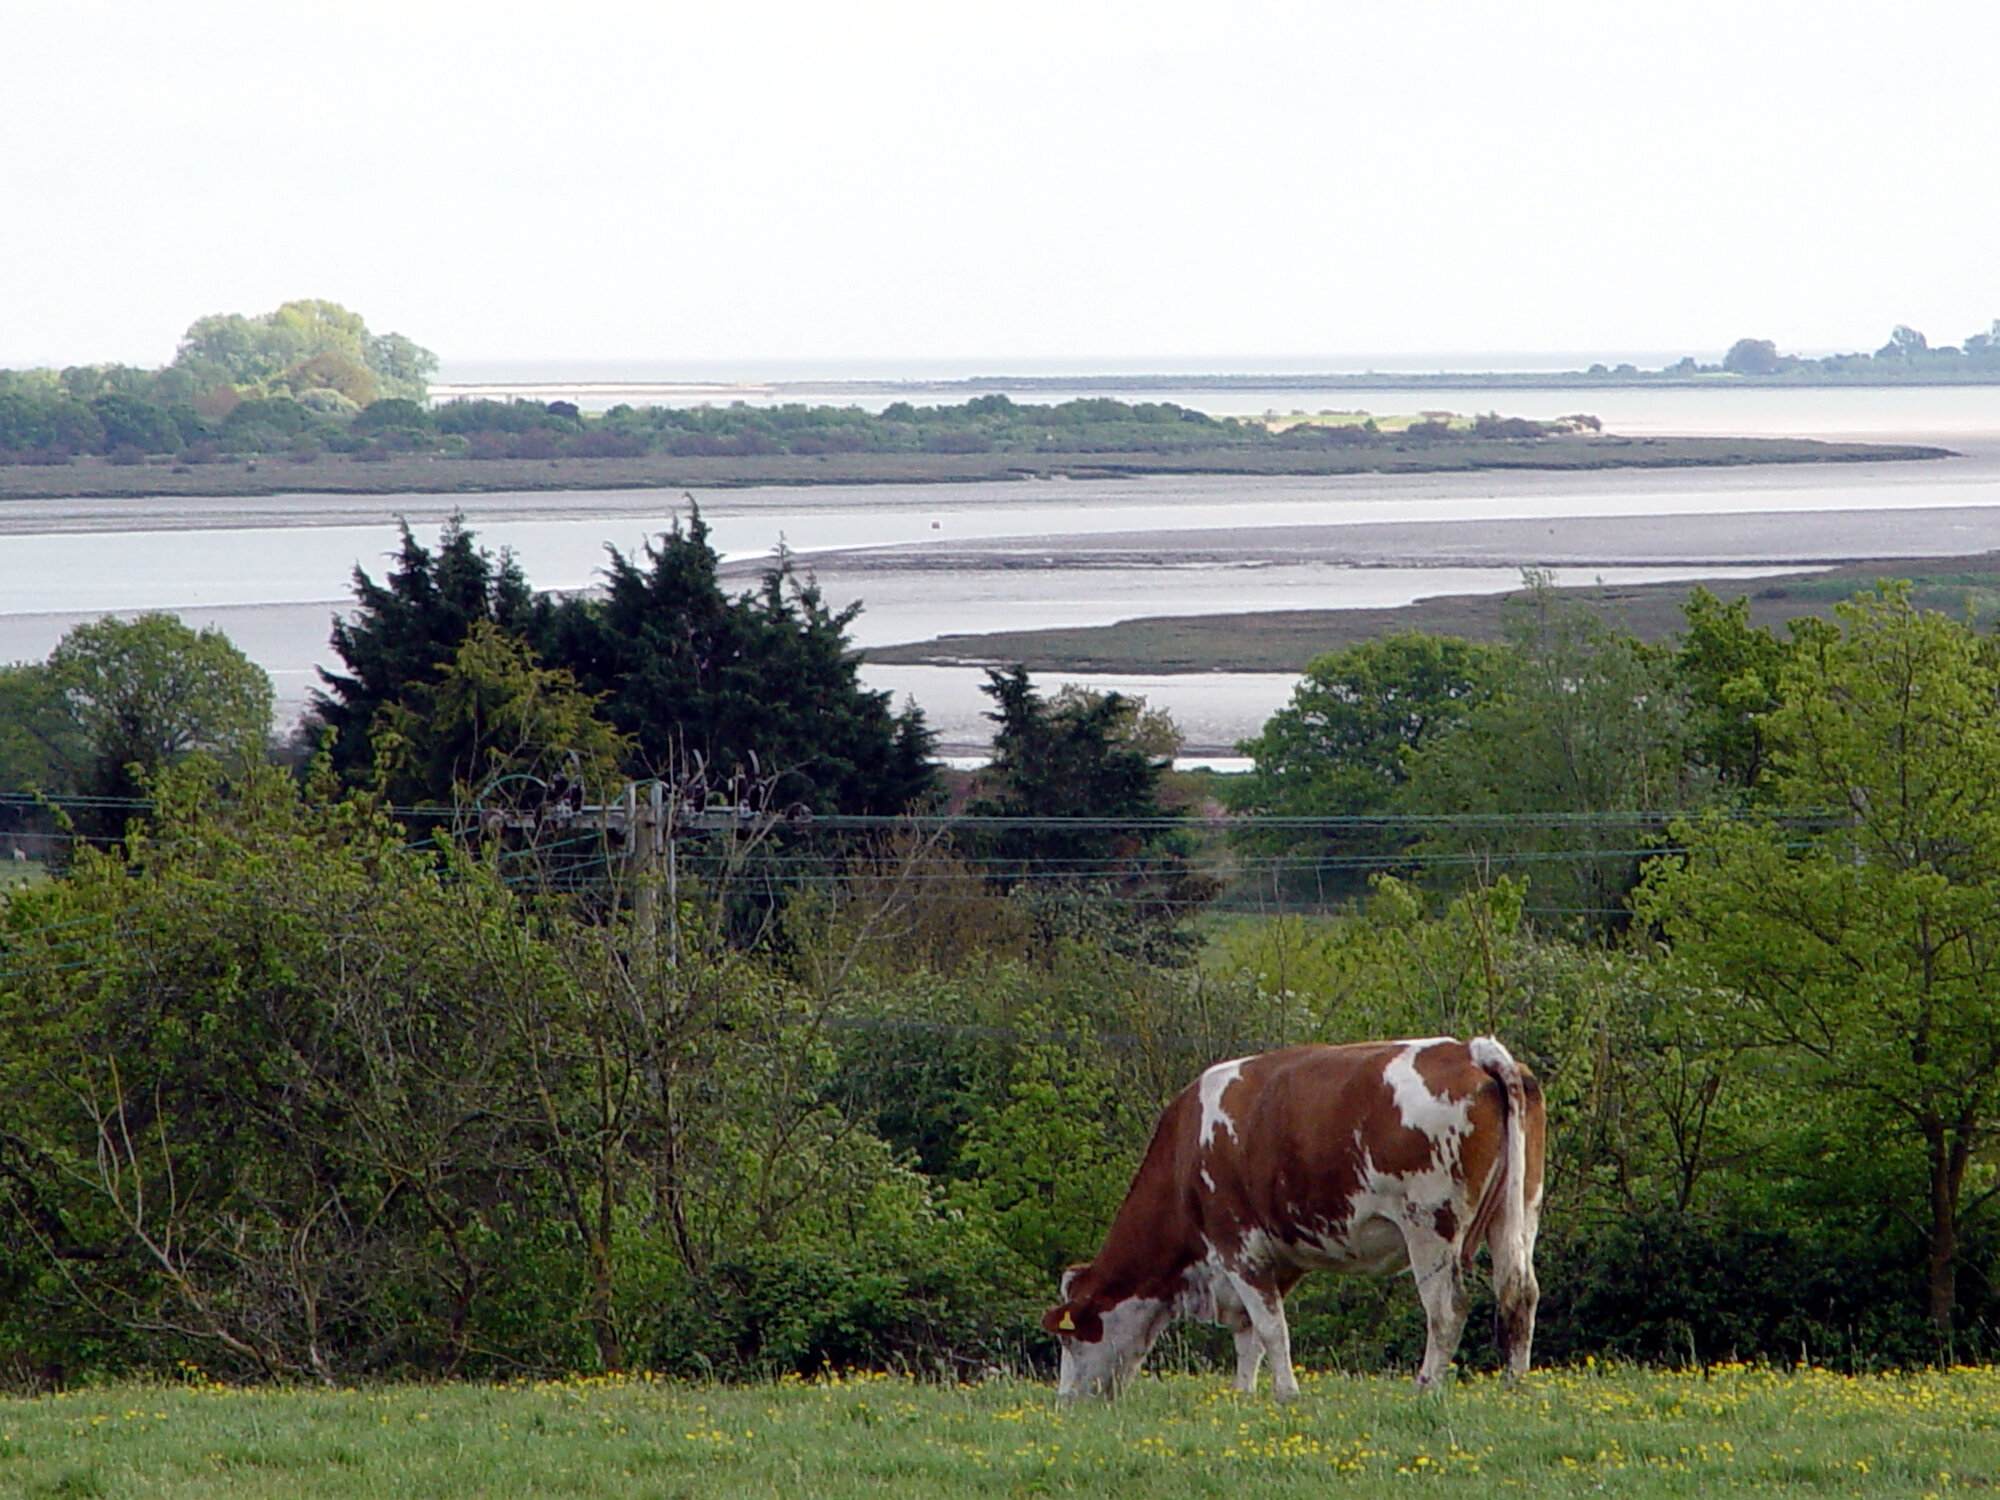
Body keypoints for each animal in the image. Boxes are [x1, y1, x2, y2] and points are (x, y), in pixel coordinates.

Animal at [1041, 1035, 1544, 1400]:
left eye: (1069, 1339)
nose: (1066, 1401)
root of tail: (1471, 1049)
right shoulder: (1272, 1259)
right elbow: (1249, 1333)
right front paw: (1243, 1395)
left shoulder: (1237, 1243)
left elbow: (1270, 1329)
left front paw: (1285, 1394)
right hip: (1518, 1210)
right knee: (1519, 1291)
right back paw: (1514, 1385)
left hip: (1429, 1224)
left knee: (1446, 1308)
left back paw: (1426, 1387)